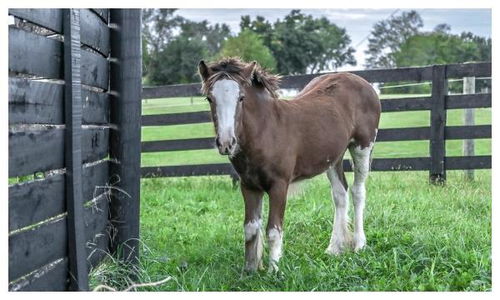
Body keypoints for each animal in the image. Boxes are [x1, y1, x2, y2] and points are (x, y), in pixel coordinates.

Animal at [197, 56, 380, 272]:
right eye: (210, 98)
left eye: (241, 98)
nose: (226, 143)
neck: (266, 131)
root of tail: (363, 82)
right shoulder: (248, 186)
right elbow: (250, 228)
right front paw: (249, 270)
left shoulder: (279, 185)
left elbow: (273, 230)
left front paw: (273, 271)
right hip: (333, 156)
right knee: (340, 194)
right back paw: (334, 248)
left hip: (363, 146)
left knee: (358, 191)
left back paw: (360, 244)